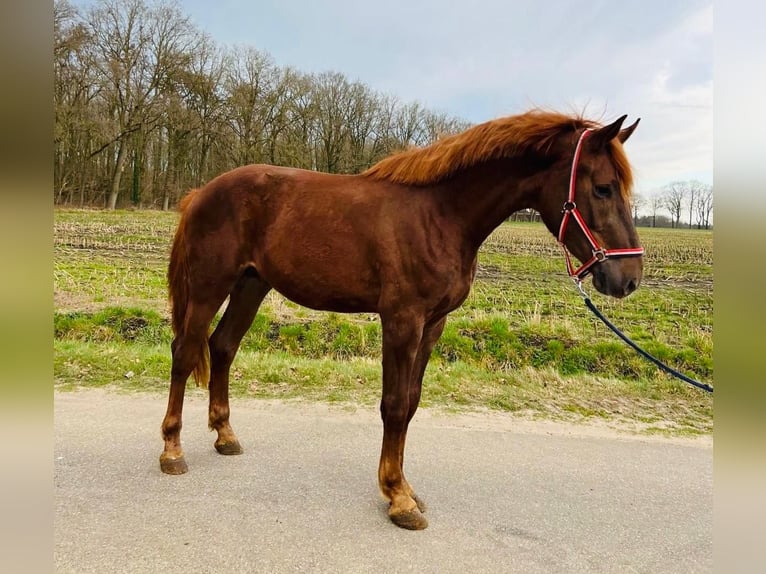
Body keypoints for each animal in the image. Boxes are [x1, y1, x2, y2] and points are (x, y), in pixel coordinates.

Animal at [159, 109, 643, 530]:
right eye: (603, 188)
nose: (629, 278)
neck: (440, 215)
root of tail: (200, 194)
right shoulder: (402, 321)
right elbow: (392, 405)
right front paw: (397, 498)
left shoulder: (433, 325)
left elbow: (410, 403)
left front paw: (405, 488)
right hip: (209, 286)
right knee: (184, 353)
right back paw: (172, 450)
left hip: (250, 285)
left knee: (222, 347)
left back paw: (225, 436)